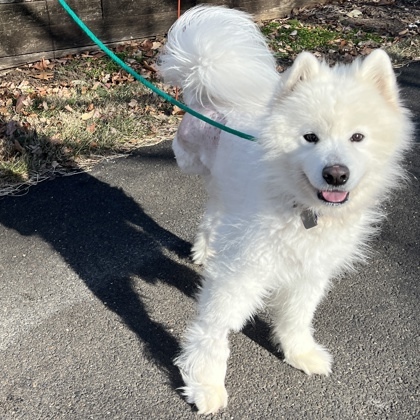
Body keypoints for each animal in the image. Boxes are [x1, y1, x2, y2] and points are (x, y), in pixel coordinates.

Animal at [158, 4, 414, 416]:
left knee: (215, 209)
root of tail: (210, 87)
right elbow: (213, 331)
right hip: (191, 159)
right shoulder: (241, 273)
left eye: (357, 137)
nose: (336, 174)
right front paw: (204, 383)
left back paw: (207, 247)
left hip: (226, 190)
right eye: (310, 137)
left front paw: (300, 354)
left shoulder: (311, 270)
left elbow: (297, 318)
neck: (300, 206)